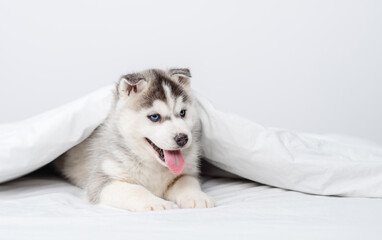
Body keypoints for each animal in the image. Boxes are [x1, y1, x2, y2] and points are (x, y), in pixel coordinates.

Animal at [54, 68, 213, 211]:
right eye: (154, 117)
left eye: (182, 113)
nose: (182, 139)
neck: (154, 166)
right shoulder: (101, 179)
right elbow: (134, 190)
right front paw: (155, 202)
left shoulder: (186, 172)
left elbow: (186, 181)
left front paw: (197, 197)